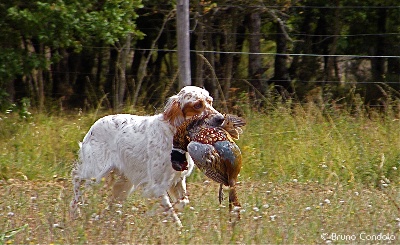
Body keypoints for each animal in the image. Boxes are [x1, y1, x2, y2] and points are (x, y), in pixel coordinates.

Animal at [70, 85, 223, 226]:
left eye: (210, 101)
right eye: (197, 105)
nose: (220, 118)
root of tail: (92, 128)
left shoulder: (178, 179)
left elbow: (183, 202)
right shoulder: (156, 185)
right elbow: (170, 211)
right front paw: (179, 228)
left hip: (123, 182)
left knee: (112, 201)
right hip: (95, 172)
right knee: (77, 178)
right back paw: (75, 211)